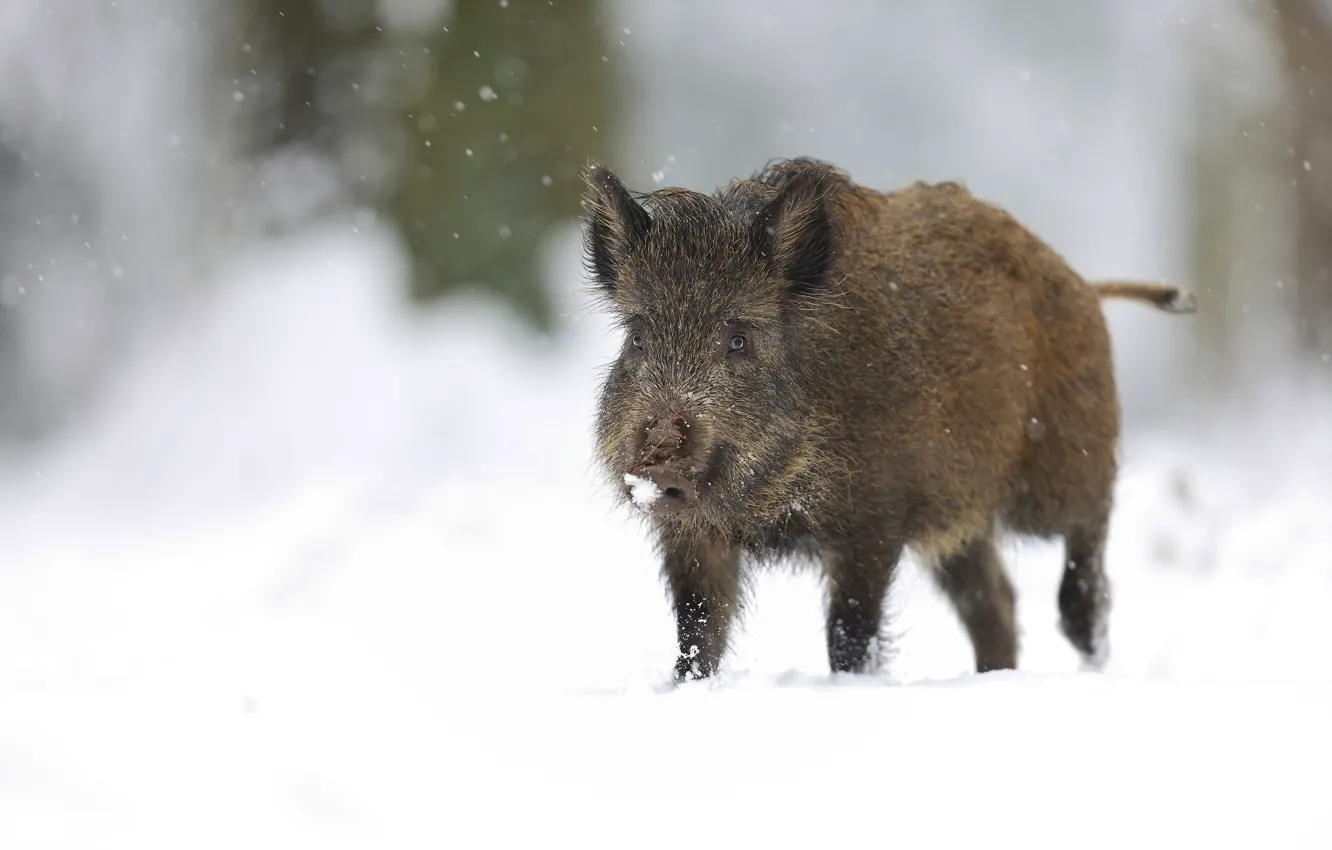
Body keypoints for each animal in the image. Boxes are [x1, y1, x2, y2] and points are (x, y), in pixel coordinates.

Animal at [583, 157, 1195, 682]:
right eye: (637, 337)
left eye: (738, 338)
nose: (658, 451)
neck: (773, 505)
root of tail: (1082, 284)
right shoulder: (692, 535)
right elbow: (697, 630)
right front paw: (686, 687)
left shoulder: (873, 517)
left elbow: (850, 631)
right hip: (961, 517)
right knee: (995, 602)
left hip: (1061, 462)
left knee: (1090, 534)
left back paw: (1091, 646)